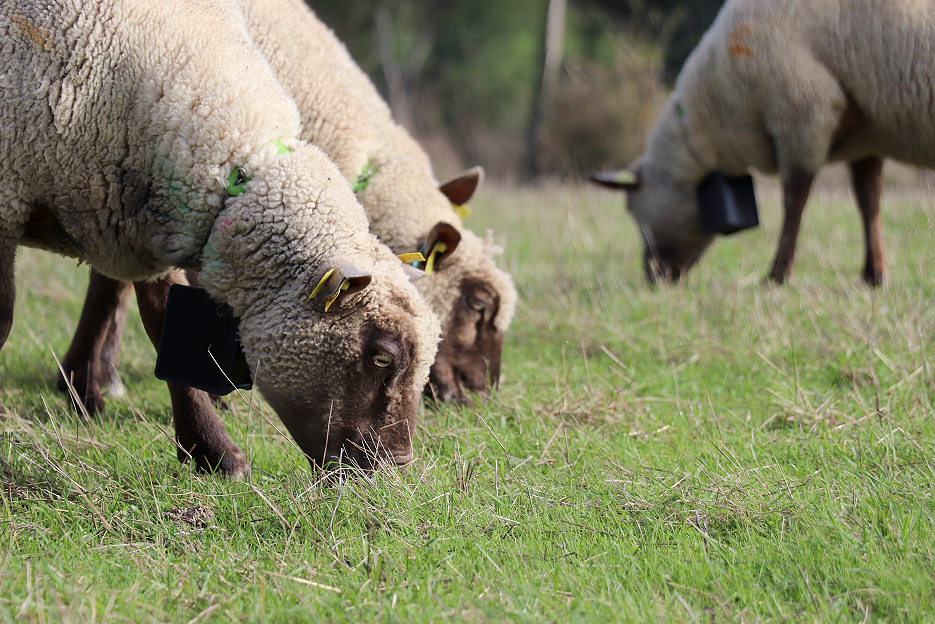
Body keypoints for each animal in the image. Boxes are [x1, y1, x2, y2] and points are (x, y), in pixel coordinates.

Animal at [0, 0, 440, 476]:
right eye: (382, 357)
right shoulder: (8, 200)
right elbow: (4, 321)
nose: (397, 465)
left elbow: (168, 330)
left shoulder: (151, 225)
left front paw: (212, 451)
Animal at [592, 0, 935, 286]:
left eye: (633, 212)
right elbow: (869, 202)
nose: (653, 277)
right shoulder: (866, 137)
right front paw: (873, 275)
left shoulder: (804, 111)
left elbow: (794, 200)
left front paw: (777, 275)